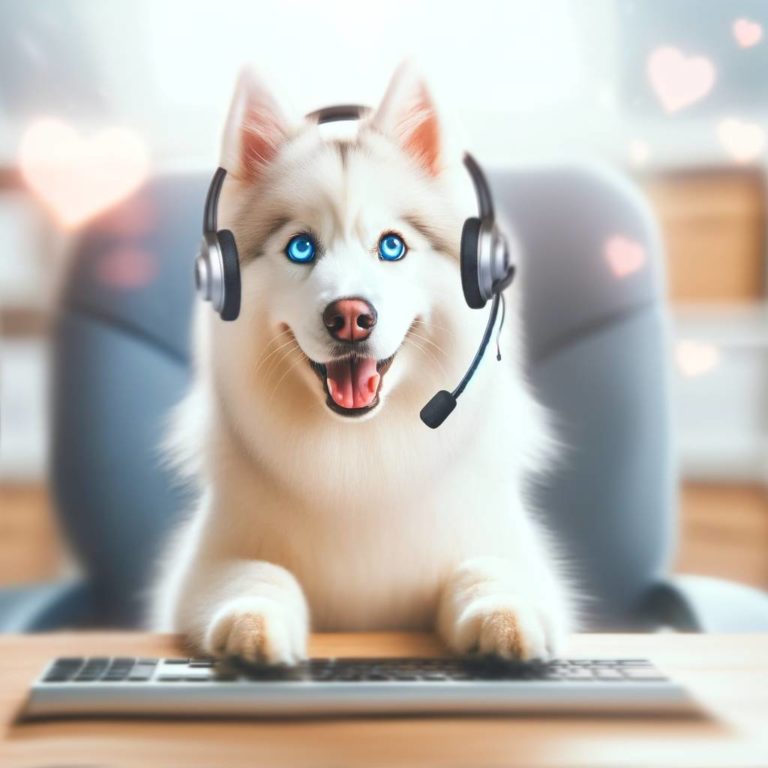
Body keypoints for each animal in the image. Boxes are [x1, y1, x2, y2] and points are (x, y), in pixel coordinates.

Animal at [147, 63, 572, 664]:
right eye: (301, 248)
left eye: (392, 246)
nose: (350, 317)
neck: (358, 453)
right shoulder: (204, 567)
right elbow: (255, 573)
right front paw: (252, 620)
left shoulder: (505, 547)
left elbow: (486, 568)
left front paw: (505, 615)